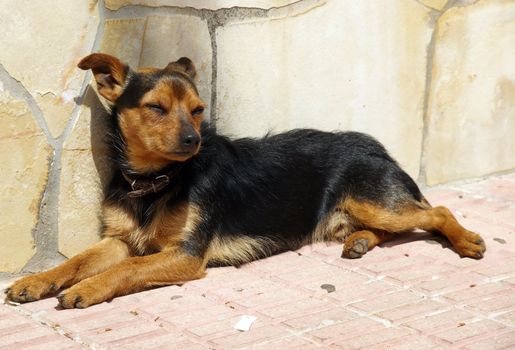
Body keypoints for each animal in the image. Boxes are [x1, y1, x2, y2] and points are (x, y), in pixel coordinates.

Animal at [6, 53, 486, 308]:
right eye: (156, 108)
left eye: (198, 110)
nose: (194, 139)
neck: (157, 180)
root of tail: (374, 145)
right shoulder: (118, 239)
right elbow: (77, 260)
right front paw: (38, 281)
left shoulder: (184, 255)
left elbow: (129, 268)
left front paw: (86, 289)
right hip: (357, 213)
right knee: (395, 226)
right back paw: (361, 241)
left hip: (376, 201)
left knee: (437, 211)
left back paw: (467, 241)